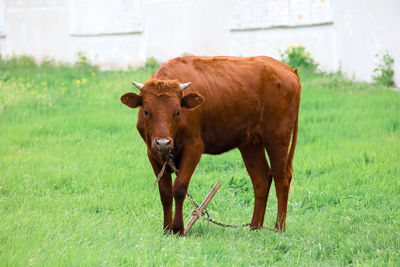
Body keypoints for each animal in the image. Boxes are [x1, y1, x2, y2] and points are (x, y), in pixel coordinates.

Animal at [121, 55, 300, 236]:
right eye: (146, 112)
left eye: (177, 112)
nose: (164, 142)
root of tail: (287, 69)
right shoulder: (152, 153)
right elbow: (165, 194)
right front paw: (166, 230)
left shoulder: (194, 148)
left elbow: (179, 188)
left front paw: (178, 229)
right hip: (250, 144)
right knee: (261, 179)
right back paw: (255, 227)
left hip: (277, 137)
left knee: (281, 178)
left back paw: (279, 228)